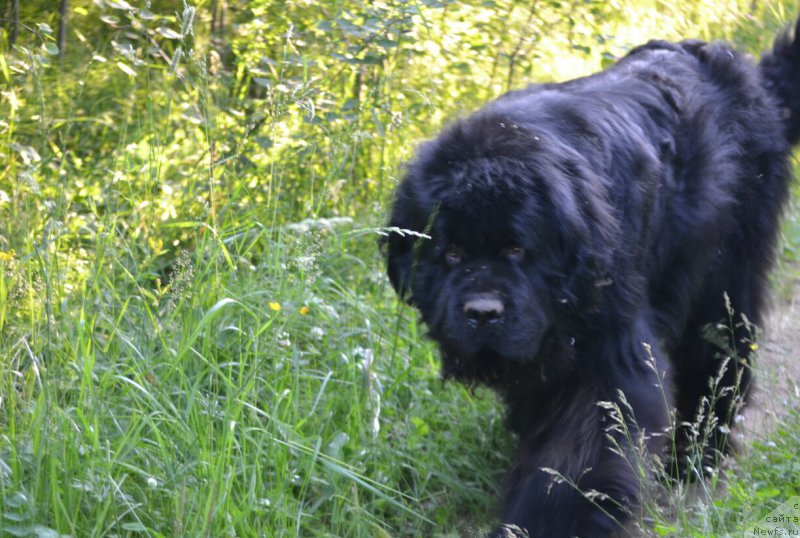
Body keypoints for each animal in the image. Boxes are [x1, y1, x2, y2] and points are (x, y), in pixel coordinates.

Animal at [384, 17, 796, 536]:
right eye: (452, 253)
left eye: (517, 250)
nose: (482, 312)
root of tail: (748, 75)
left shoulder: (609, 352)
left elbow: (580, 456)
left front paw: (542, 523)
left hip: (724, 270)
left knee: (719, 351)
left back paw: (697, 456)